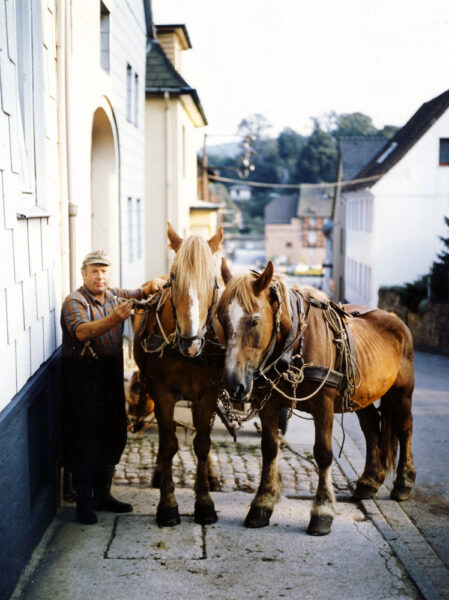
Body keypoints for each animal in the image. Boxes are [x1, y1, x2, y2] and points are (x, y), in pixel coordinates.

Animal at [133, 224, 224, 524]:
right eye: (175, 278)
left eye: (213, 280)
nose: (191, 343)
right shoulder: (162, 393)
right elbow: (169, 443)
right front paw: (168, 504)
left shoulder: (208, 394)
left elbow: (203, 444)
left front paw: (204, 502)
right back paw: (159, 471)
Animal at [215, 262, 414, 536]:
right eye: (221, 318)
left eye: (254, 320)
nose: (233, 384)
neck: (293, 345)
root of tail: (394, 318)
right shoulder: (269, 405)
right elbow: (269, 450)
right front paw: (262, 503)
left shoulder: (324, 406)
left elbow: (323, 453)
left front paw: (322, 511)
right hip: (360, 393)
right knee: (372, 427)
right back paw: (369, 481)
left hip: (401, 392)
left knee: (404, 430)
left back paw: (403, 483)